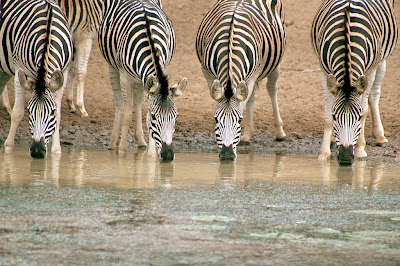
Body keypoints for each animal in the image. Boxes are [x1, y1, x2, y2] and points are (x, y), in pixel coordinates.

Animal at [0, 0, 72, 158]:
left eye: (51, 112)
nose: (38, 151)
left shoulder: (64, 72)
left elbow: (59, 115)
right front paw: (8, 147)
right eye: (29, 110)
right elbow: (17, 113)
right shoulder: (19, 70)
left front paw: (57, 151)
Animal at [97, 0, 187, 161]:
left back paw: (140, 141)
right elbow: (127, 114)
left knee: (138, 101)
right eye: (154, 117)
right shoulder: (125, 78)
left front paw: (151, 155)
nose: (168, 155)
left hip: (141, 79)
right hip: (113, 66)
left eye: (175, 116)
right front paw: (122, 151)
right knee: (119, 103)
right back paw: (113, 143)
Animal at [195, 0, 286, 160]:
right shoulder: (207, 73)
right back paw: (247, 135)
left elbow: (241, 105)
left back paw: (279, 132)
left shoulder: (254, 74)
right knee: (250, 96)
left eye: (239, 120)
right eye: (215, 119)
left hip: (274, 63)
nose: (227, 155)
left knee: (271, 89)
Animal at [312, 0, 396, 165]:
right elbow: (326, 115)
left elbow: (365, 110)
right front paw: (323, 154)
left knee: (374, 95)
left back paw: (380, 136)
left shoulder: (370, 71)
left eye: (357, 117)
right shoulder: (324, 71)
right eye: (335, 116)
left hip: (382, 59)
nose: (345, 158)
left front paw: (360, 149)